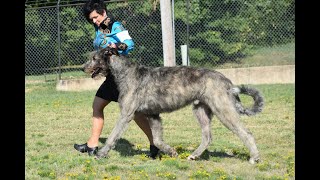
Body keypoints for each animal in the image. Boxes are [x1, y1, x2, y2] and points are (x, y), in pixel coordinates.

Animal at [83, 47, 264, 164]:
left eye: (94, 58)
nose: (83, 67)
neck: (126, 73)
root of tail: (227, 81)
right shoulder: (153, 115)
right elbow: (157, 140)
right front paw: (171, 151)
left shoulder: (126, 114)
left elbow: (113, 135)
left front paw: (101, 153)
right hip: (201, 110)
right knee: (207, 137)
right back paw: (194, 155)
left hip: (224, 110)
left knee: (246, 133)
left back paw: (254, 157)